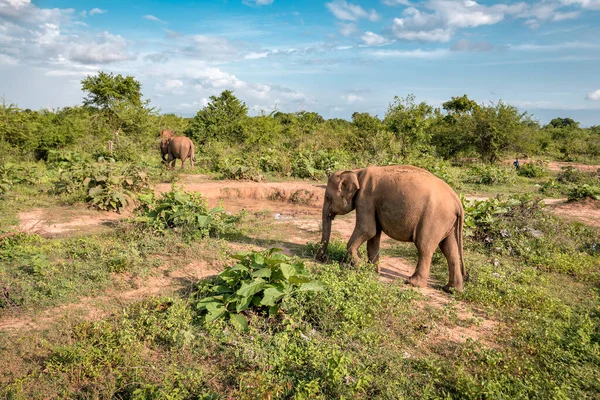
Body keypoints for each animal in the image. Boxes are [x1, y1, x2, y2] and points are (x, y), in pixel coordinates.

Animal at [316, 164, 466, 292]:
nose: (323, 258)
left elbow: (367, 230)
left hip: (434, 218)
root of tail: (458, 202)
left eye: (327, 197)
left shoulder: (365, 198)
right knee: (450, 250)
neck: (357, 172)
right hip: (448, 223)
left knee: (425, 247)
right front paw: (370, 270)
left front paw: (359, 265)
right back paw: (451, 289)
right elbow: (374, 235)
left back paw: (412, 283)